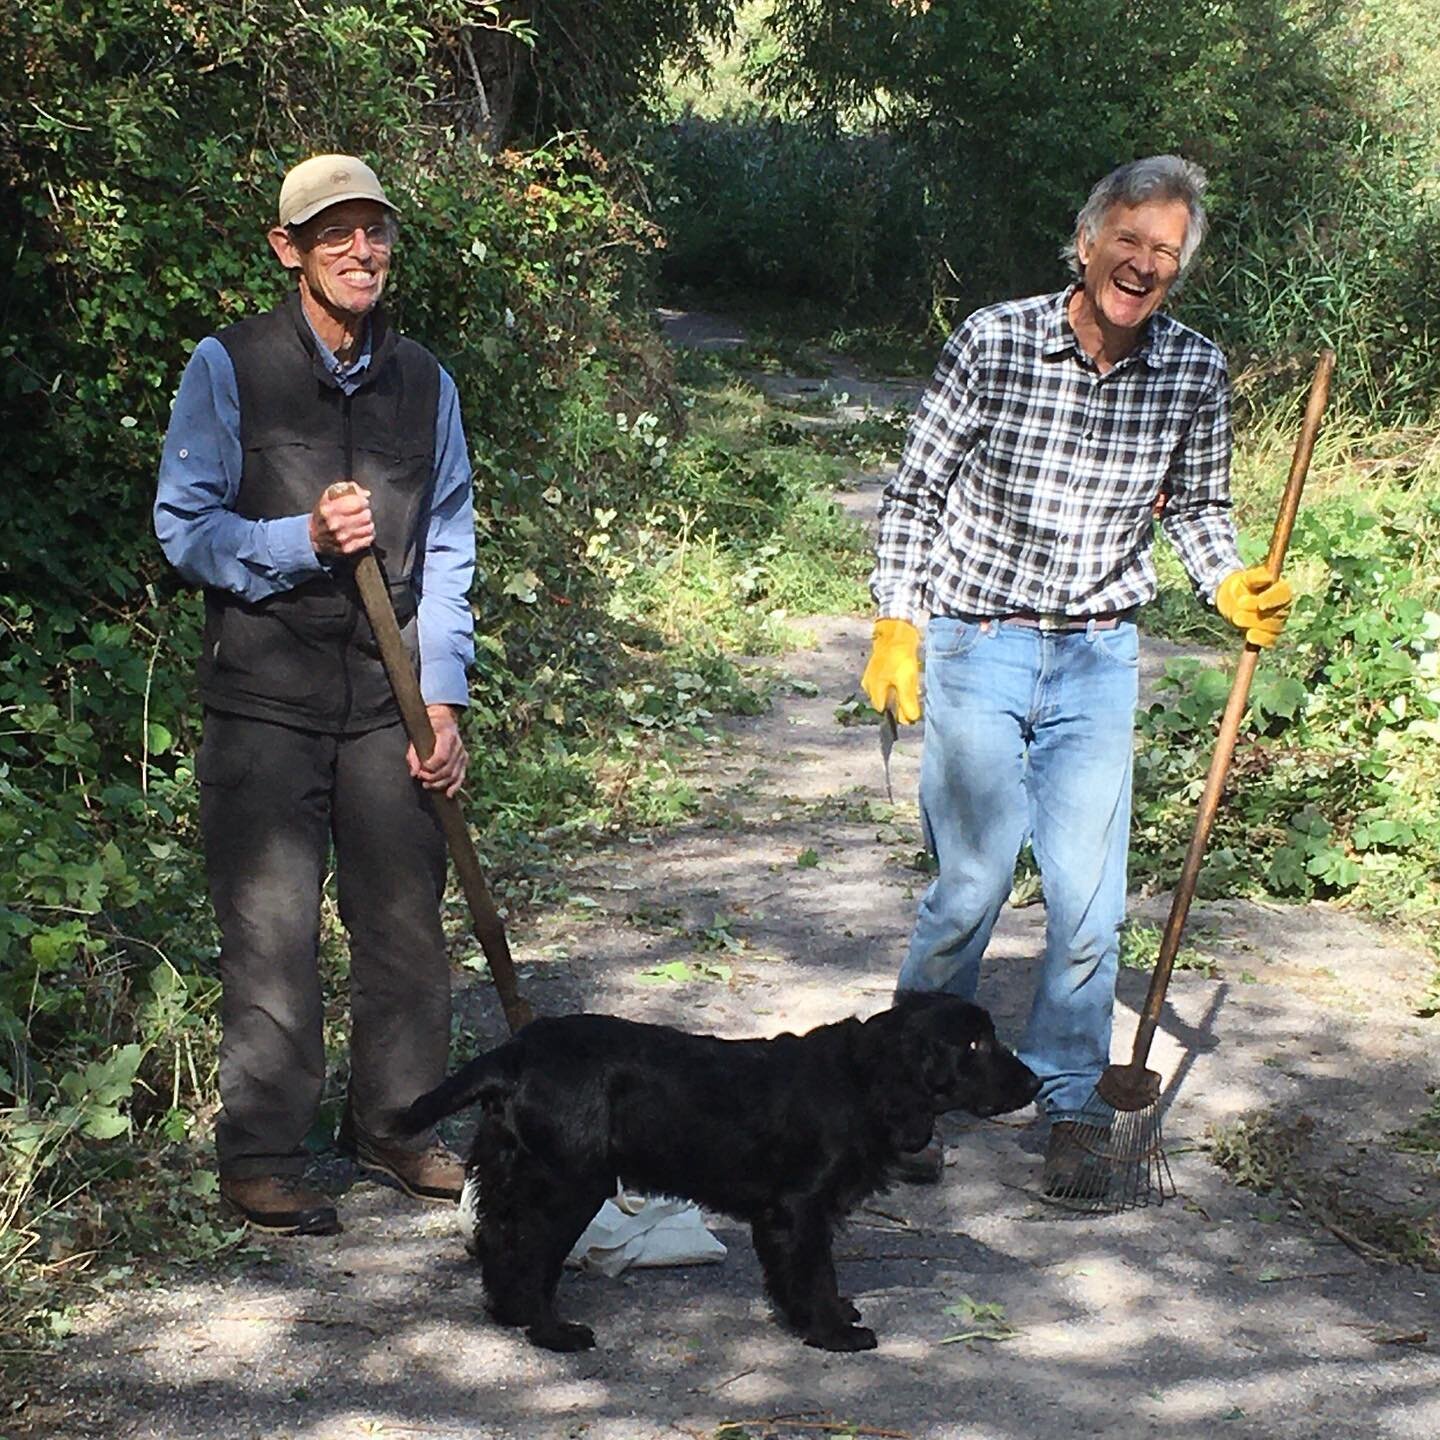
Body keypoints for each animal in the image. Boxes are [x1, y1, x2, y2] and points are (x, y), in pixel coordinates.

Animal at [400, 996, 1042, 1353]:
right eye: (974, 1044)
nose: (1037, 1082)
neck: (862, 1080)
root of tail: (515, 1054)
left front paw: (831, 1316)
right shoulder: (798, 1208)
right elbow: (813, 1273)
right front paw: (833, 1333)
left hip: (515, 1174)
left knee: (499, 1242)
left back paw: (512, 1313)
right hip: (568, 1188)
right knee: (530, 1256)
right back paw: (554, 1333)